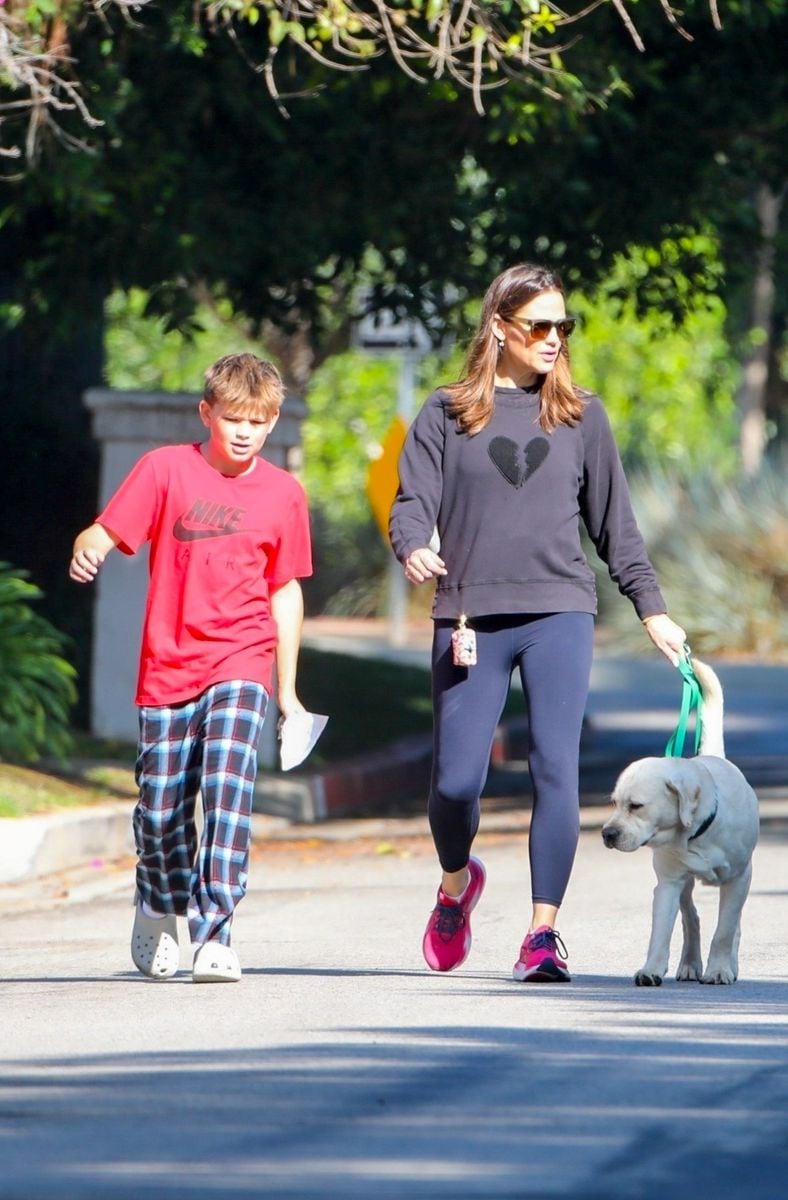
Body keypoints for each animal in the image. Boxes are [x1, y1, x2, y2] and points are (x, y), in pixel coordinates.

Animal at [602, 662, 758, 988]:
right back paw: (689, 964)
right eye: (615, 803)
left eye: (636, 805)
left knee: (732, 925)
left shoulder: (740, 878)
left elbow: (724, 930)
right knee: (691, 918)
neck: (697, 834)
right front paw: (650, 969)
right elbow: (660, 932)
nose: (606, 834)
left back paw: (728, 964)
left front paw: (719, 970)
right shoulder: (668, 883)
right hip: (683, 884)